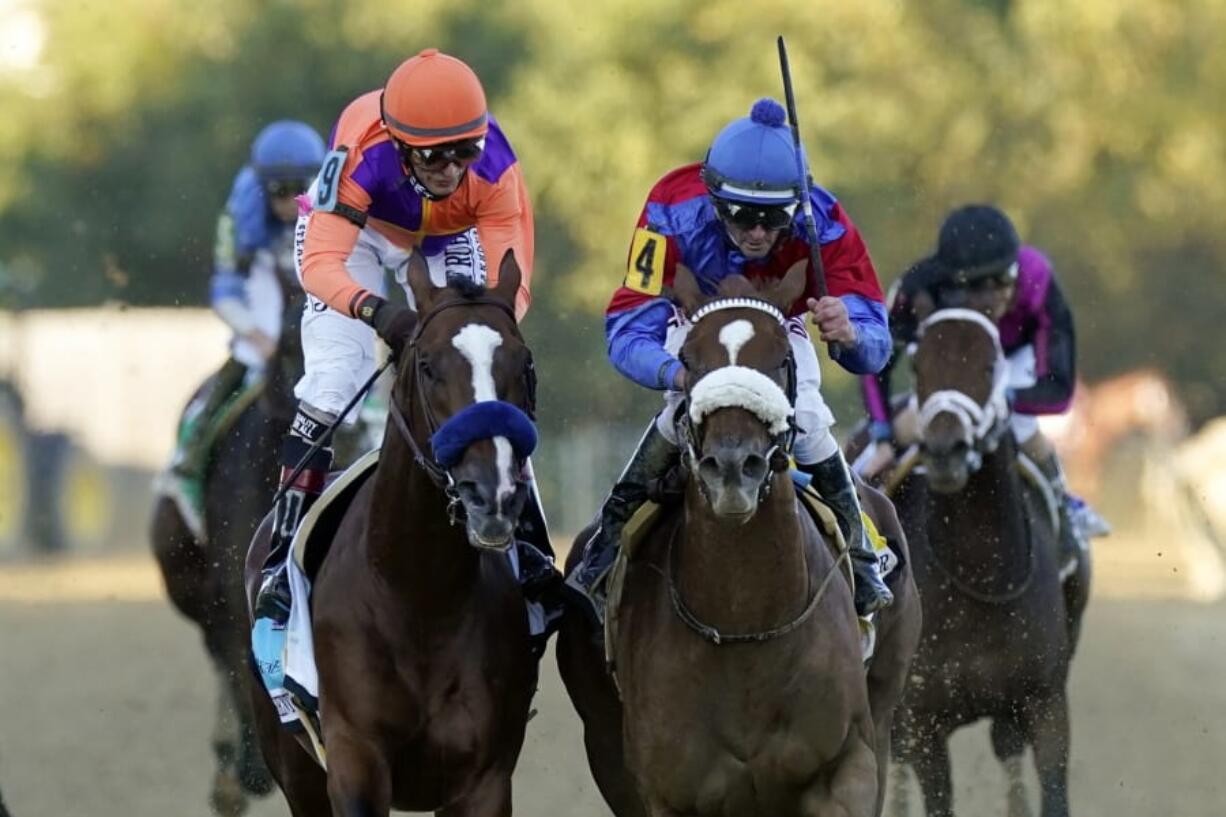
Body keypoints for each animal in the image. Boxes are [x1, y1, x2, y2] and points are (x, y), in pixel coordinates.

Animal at [148, 266, 304, 809]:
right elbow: (239, 652)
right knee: (221, 650)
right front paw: (252, 769)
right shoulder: (231, 577)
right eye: (290, 343)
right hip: (188, 585)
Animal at [243, 251, 541, 809]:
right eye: (428, 367)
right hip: (293, 762)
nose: (491, 495)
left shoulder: (485, 776)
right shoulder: (354, 760)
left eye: (524, 365)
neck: (416, 593)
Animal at [561, 262, 917, 814]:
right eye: (688, 360)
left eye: (783, 358)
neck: (744, 623)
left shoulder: (845, 766)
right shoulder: (667, 792)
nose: (732, 467)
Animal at [872, 309, 1093, 809]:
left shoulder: (1044, 701)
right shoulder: (922, 722)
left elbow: (1053, 792)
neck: (981, 571)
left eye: (990, 365)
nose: (945, 449)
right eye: (918, 365)